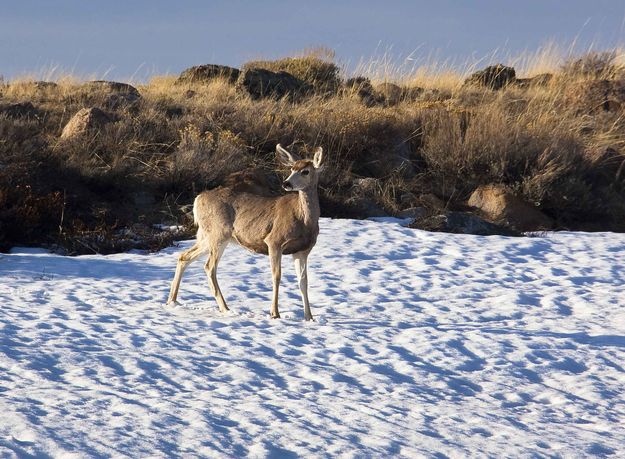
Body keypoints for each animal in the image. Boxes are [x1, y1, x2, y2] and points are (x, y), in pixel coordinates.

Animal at [166, 143, 326, 320]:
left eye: (305, 171)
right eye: (292, 168)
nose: (286, 183)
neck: (304, 220)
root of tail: (198, 199)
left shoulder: (302, 250)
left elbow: (303, 282)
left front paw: (309, 317)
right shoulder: (274, 241)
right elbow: (276, 276)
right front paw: (275, 313)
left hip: (207, 236)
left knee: (184, 256)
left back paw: (172, 301)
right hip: (218, 233)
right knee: (209, 267)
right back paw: (225, 308)